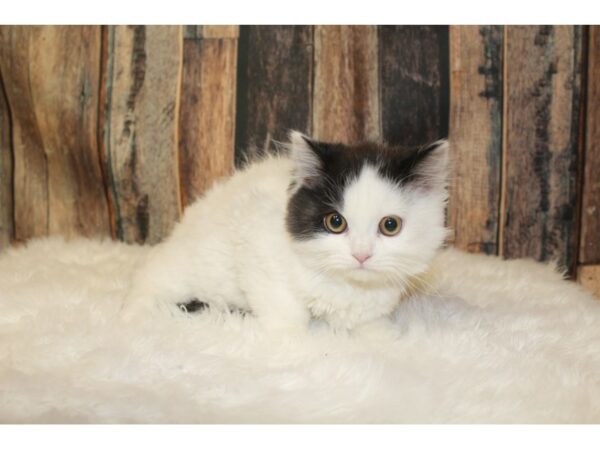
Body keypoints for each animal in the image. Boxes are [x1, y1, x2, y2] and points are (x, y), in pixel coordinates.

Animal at [122, 132, 450, 332]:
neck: (346, 285)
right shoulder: (255, 243)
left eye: (390, 225)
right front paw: (293, 341)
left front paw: (382, 335)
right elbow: (286, 310)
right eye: (335, 222)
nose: (361, 255)